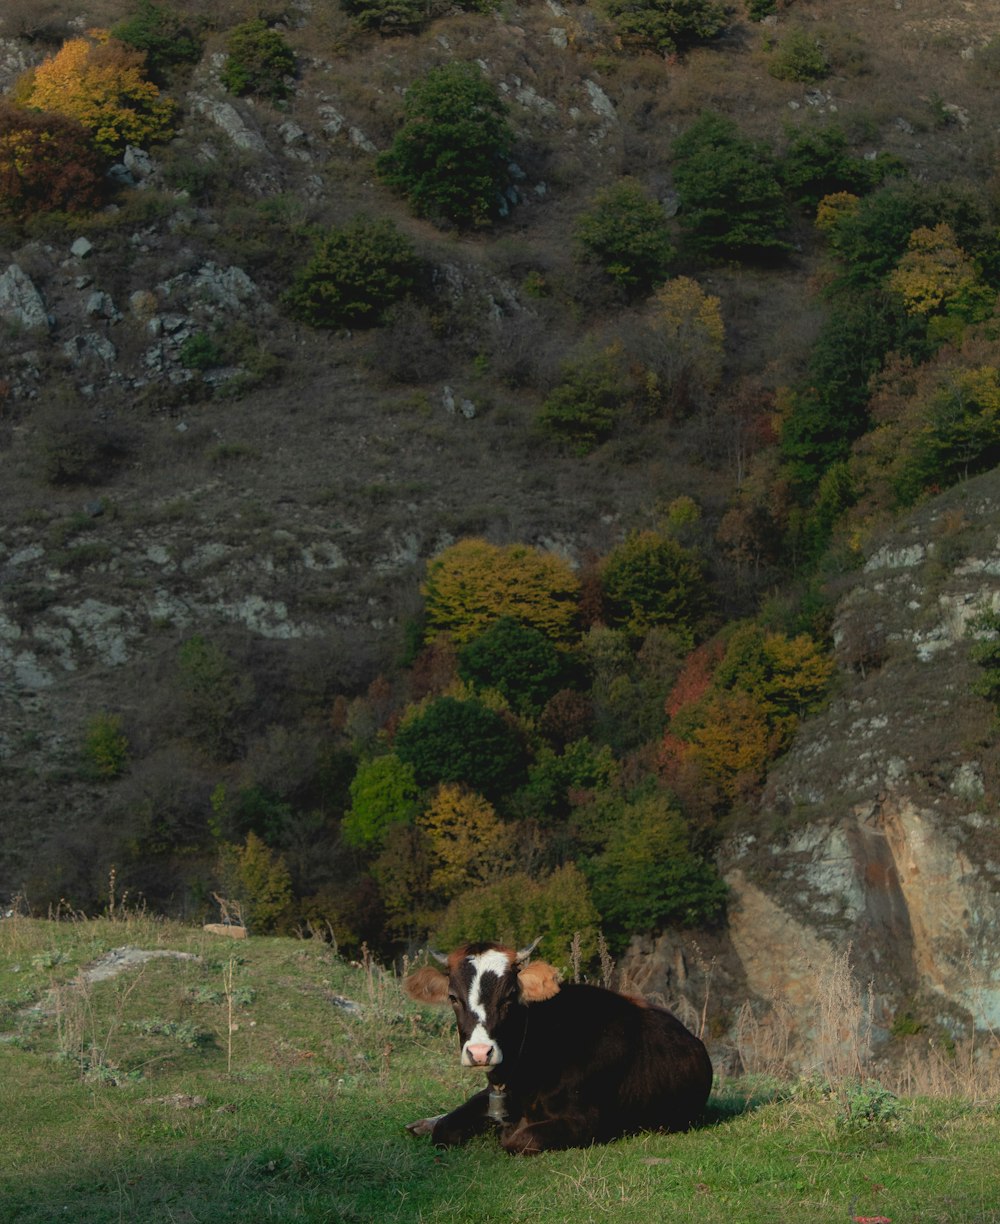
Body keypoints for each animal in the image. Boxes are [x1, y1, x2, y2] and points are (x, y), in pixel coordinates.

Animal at [401, 940, 714, 1150]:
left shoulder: (587, 1121)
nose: (480, 1052)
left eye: (509, 995)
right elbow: (445, 1128)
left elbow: (517, 1140)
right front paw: (433, 1123)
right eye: (453, 997)